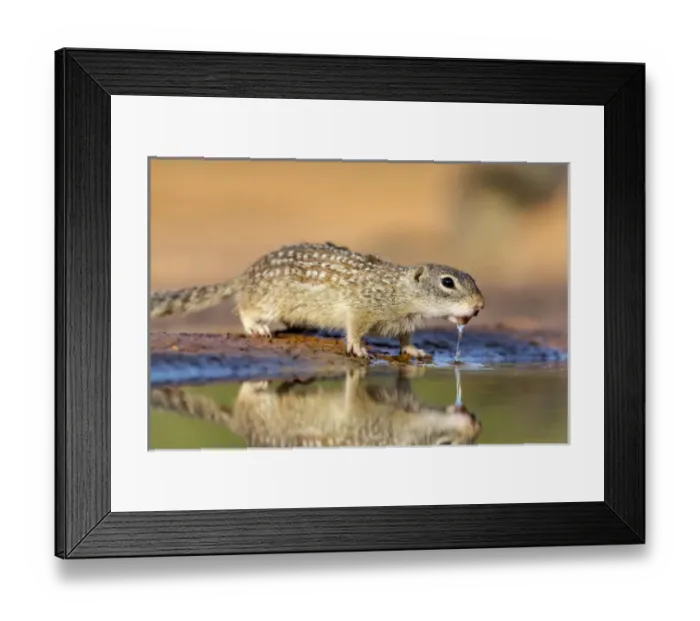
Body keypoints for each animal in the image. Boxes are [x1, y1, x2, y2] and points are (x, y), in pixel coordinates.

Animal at [150, 242, 485, 359]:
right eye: (447, 282)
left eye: (472, 278)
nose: (480, 306)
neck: (399, 291)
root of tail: (246, 273)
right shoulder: (362, 308)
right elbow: (354, 327)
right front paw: (357, 347)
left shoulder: (403, 321)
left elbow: (405, 338)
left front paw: (413, 349)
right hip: (266, 299)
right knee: (245, 307)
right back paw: (256, 327)